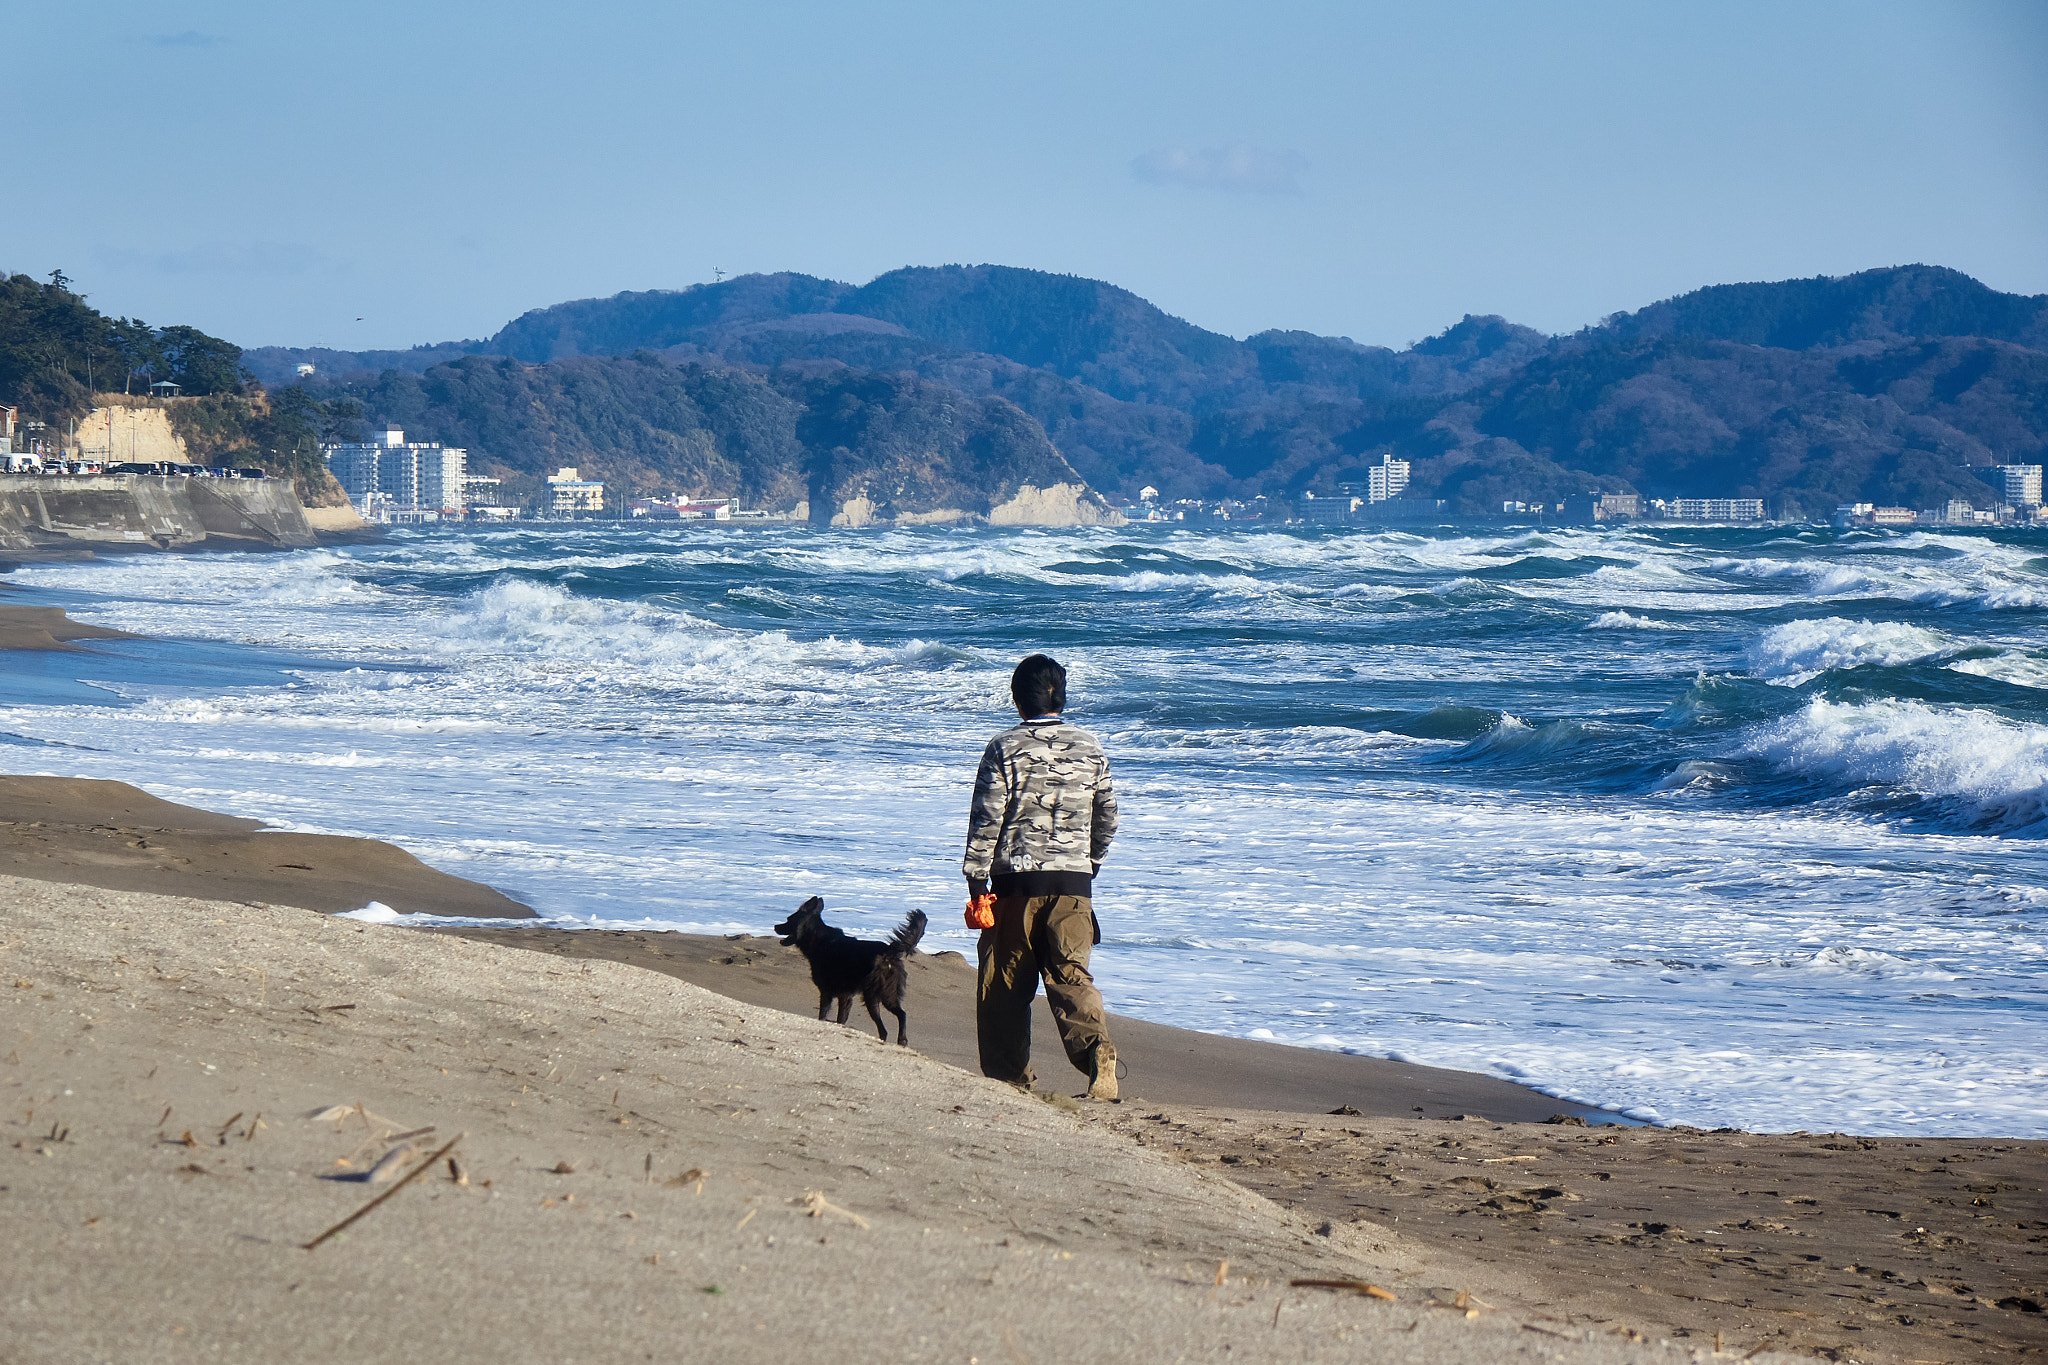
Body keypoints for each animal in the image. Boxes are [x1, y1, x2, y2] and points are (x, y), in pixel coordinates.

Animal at [770, 896, 929, 1047]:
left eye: (788, 920)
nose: (775, 926)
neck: (817, 939)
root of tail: (888, 953)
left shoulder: (828, 993)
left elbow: (823, 1015)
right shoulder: (845, 996)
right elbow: (841, 1019)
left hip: (873, 995)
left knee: (889, 1023)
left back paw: (899, 1039)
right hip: (886, 994)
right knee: (897, 1018)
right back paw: (901, 1040)